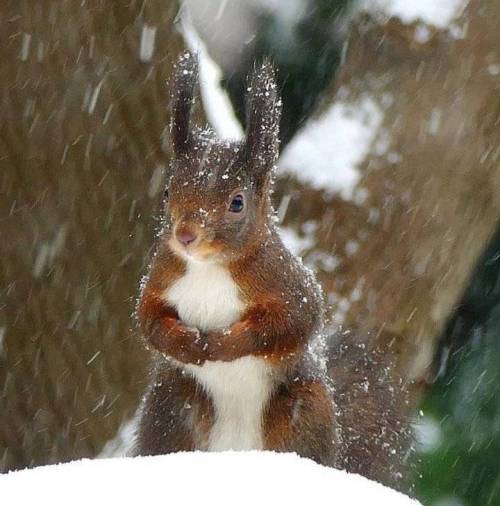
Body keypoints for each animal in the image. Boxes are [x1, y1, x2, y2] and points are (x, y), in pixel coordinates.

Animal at [133, 52, 410, 490]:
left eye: (237, 202)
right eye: (167, 190)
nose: (186, 235)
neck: (209, 268)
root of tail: (234, 451)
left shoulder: (287, 285)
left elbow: (290, 323)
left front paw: (225, 343)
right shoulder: (161, 278)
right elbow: (149, 320)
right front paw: (186, 343)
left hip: (302, 413)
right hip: (172, 407)